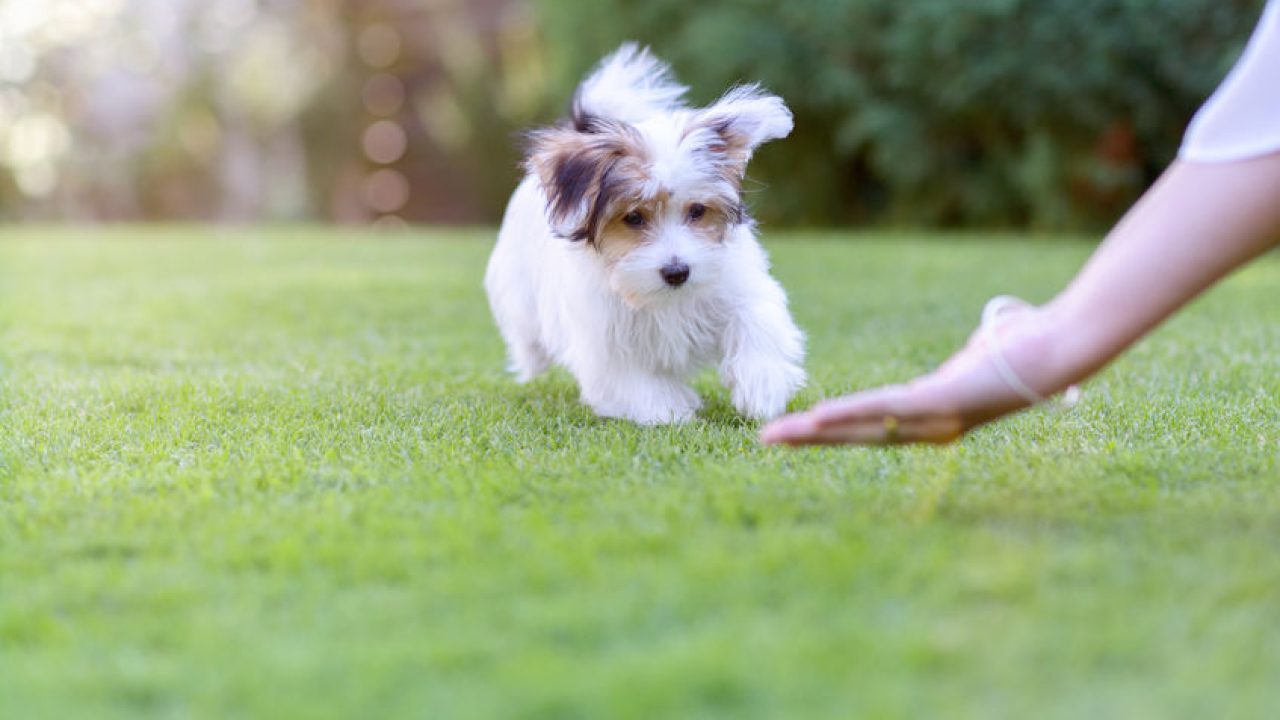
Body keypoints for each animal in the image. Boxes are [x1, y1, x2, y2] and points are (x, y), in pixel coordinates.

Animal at [483, 44, 803, 422]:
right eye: (633, 217)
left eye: (697, 211)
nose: (677, 272)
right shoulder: (606, 340)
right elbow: (634, 380)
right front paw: (671, 410)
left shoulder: (738, 288)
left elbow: (756, 320)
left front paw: (762, 386)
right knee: (527, 335)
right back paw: (531, 360)